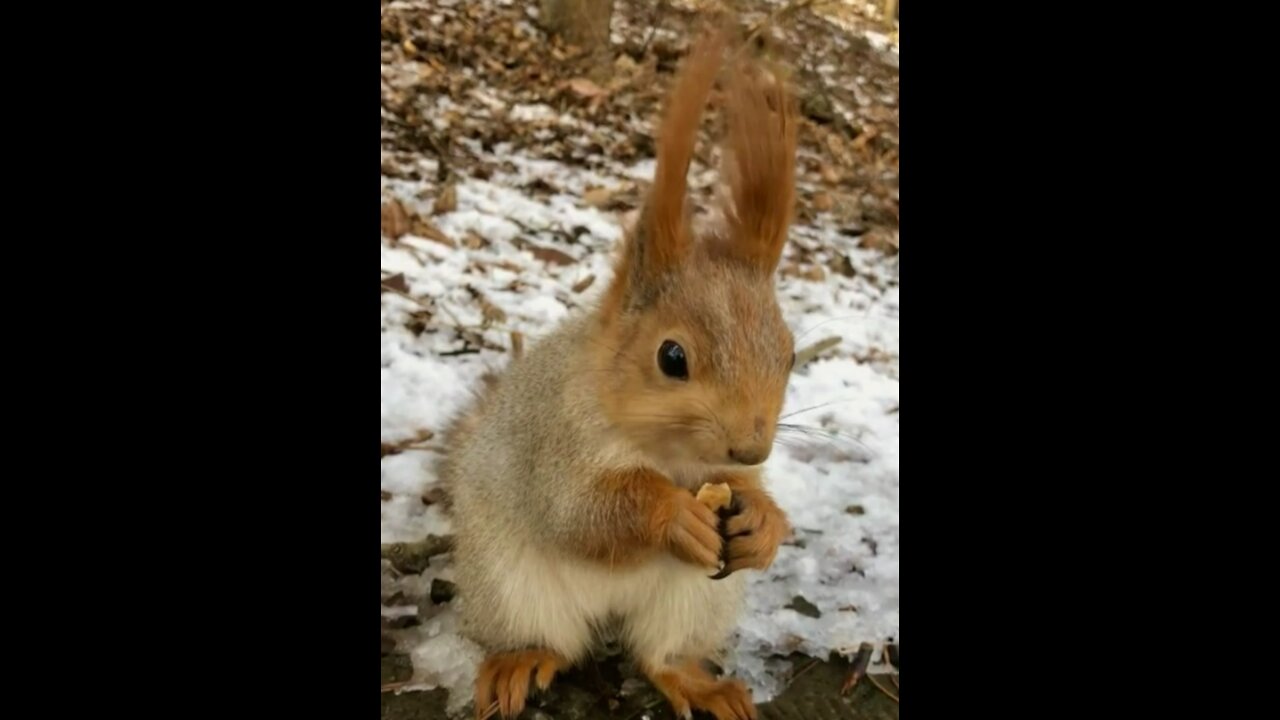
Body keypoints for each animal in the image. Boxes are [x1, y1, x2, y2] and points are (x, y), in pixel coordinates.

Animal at [445, 28, 793, 717]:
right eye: (671, 357)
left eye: (791, 353)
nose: (751, 446)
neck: (670, 457)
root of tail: (606, 613)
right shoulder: (556, 443)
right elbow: (580, 511)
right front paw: (674, 515)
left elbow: (748, 492)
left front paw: (765, 520)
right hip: (510, 584)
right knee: (549, 638)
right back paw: (520, 660)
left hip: (695, 599)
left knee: (657, 654)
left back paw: (700, 684)